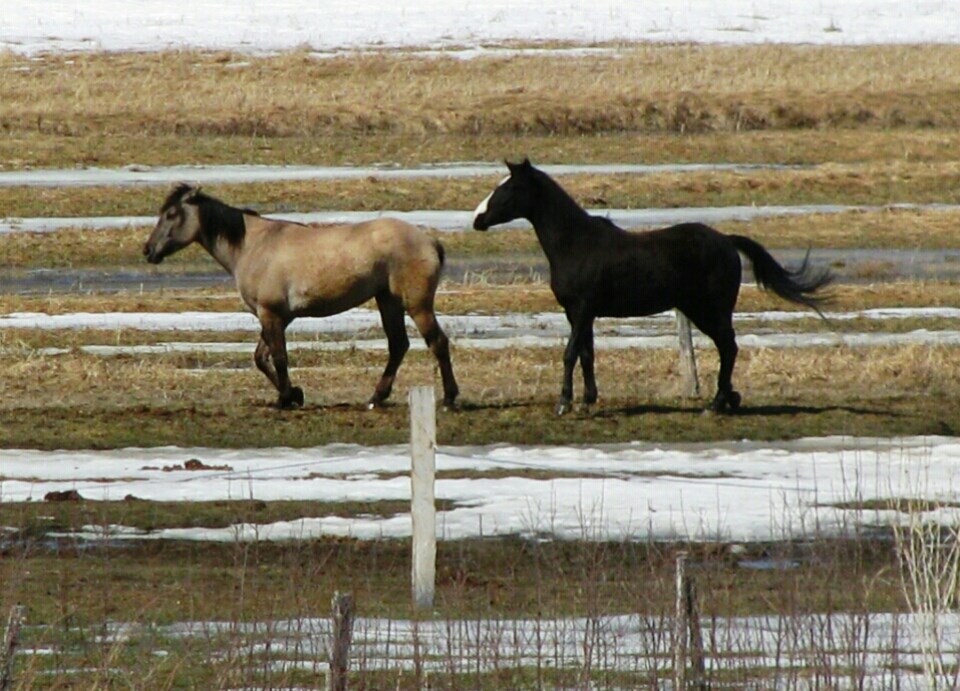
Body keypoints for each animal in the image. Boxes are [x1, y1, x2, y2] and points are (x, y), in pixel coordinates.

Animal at [143, 184, 459, 410]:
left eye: (171, 215)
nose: (148, 250)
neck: (253, 246)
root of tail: (429, 240)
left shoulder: (270, 313)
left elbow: (279, 357)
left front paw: (286, 399)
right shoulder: (278, 317)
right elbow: (261, 357)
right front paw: (294, 393)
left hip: (416, 304)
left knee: (437, 343)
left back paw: (449, 399)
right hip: (388, 301)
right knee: (398, 345)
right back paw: (376, 398)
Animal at [472, 158, 832, 415]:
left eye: (511, 188)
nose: (477, 219)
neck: (576, 244)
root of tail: (727, 242)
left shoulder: (583, 309)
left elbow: (570, 353)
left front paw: (564, 404)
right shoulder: (577, 314)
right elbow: (587, 354)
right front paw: (588, 401)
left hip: (710, 311)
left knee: (729, 347)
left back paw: (716, 404)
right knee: (727, 347)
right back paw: (729, 398)